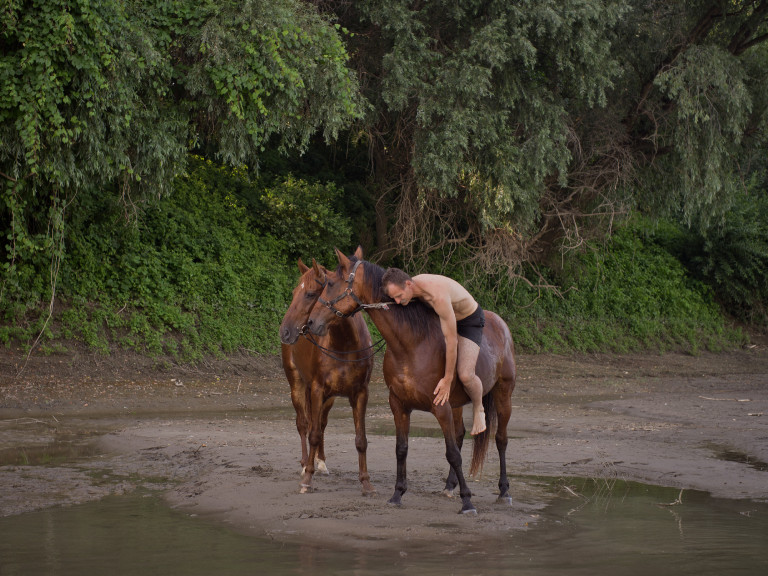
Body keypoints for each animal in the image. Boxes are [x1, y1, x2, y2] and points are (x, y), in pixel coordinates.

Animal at [278, 248, 376, 496]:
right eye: (294, 292)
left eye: (311, 293)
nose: (285, 331)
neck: (345, 345)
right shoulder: (316, 389)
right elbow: (311, 433)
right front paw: (307, 479)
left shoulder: (360, 393)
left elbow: (360, 439)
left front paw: (366, 482)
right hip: (297, 385)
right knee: (304, 424)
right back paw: (306, 464)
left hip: (328, 397)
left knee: (320, 423)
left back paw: (320, 462)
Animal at [306, 248, 516, 512]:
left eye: (331, 284)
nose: (311, 322)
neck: (412, 344)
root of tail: (501, 324)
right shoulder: (399, 405)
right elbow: (402, 449)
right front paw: (398, 494)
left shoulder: (440, 407)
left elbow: (452, 454)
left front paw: (467, 501)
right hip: (458, 404)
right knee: (460, 435)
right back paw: (450, 486)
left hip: (503, 394)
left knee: (501, 440)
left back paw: (504, 490)